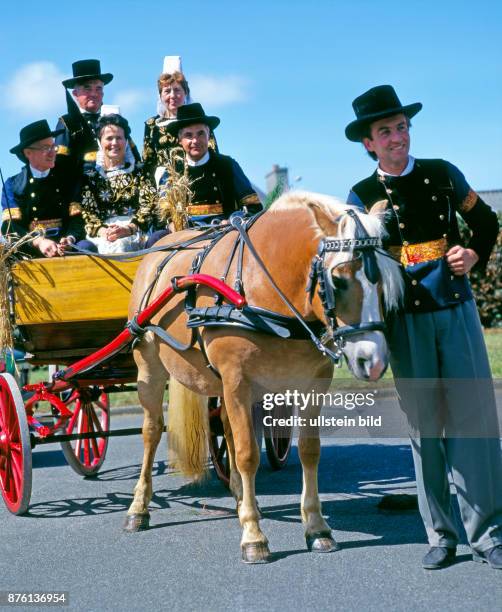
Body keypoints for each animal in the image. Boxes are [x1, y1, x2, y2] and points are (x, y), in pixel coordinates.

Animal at [125, 189, 404, 560]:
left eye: (386, 282)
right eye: (339, 279)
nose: (371, 361)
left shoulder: (312, 384)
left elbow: (309, 450)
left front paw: (316, 527)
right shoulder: (238, 382)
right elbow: (247, 454)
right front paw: (254, 536)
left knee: (226, 428)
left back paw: (242, 500)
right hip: (150, 369)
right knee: (152, 431)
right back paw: (138, 507)